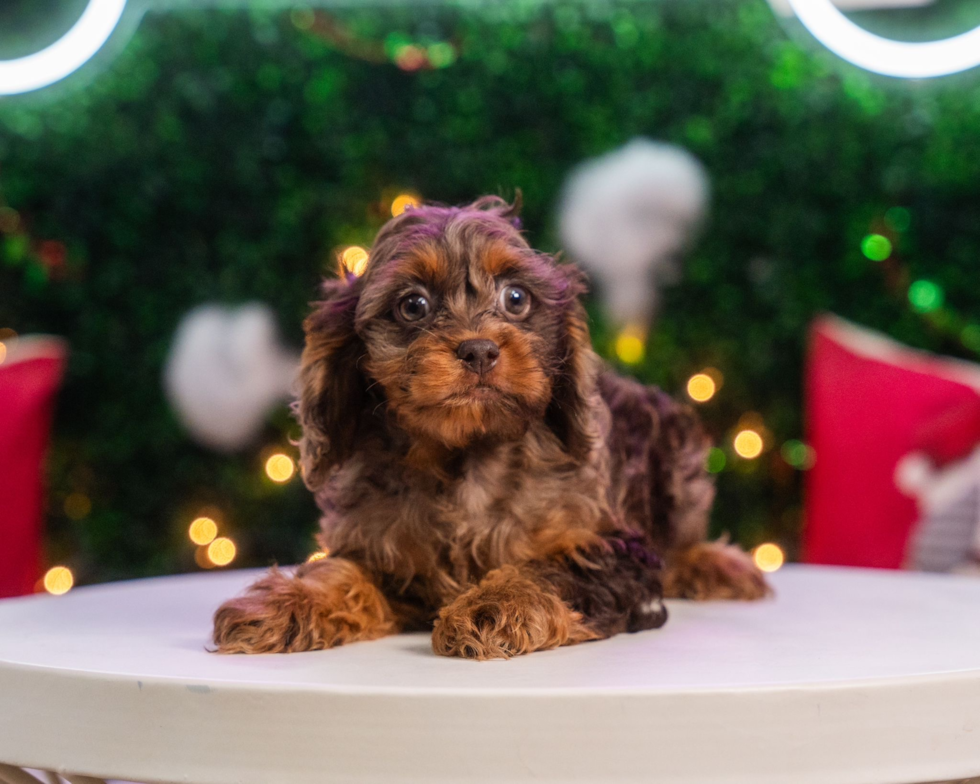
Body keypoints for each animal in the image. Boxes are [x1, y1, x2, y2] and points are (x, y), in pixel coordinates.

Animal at [212, 198, 764, 660]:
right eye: (413, 305)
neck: (468, 456)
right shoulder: (379, 547)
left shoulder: (620, 552)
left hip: (677, 459)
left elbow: (550, 568)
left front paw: (494, 604)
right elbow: (340, 569)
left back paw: (719, 566)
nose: (479, 350)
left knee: (684, 538)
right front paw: (286, 600)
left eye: (516, 298)